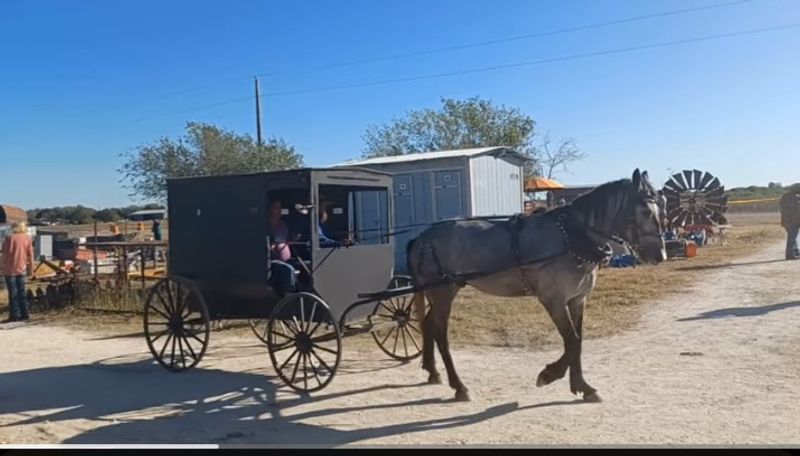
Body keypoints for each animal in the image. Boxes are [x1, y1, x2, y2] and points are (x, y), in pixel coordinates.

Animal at [407, 169, 666, 403]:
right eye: (645, 210)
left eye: (660, 207)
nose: (660, 255)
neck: (571, 237)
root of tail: (422, 237)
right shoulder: (553, 300)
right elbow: (572, 341)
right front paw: (549, 375)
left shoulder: (577, 300)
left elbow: (578, 340)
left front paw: (582, 386)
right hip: (443, 291)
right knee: (440, 333)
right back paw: (460, 387)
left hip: (439, 291)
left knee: (428, 323)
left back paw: (433, 372)